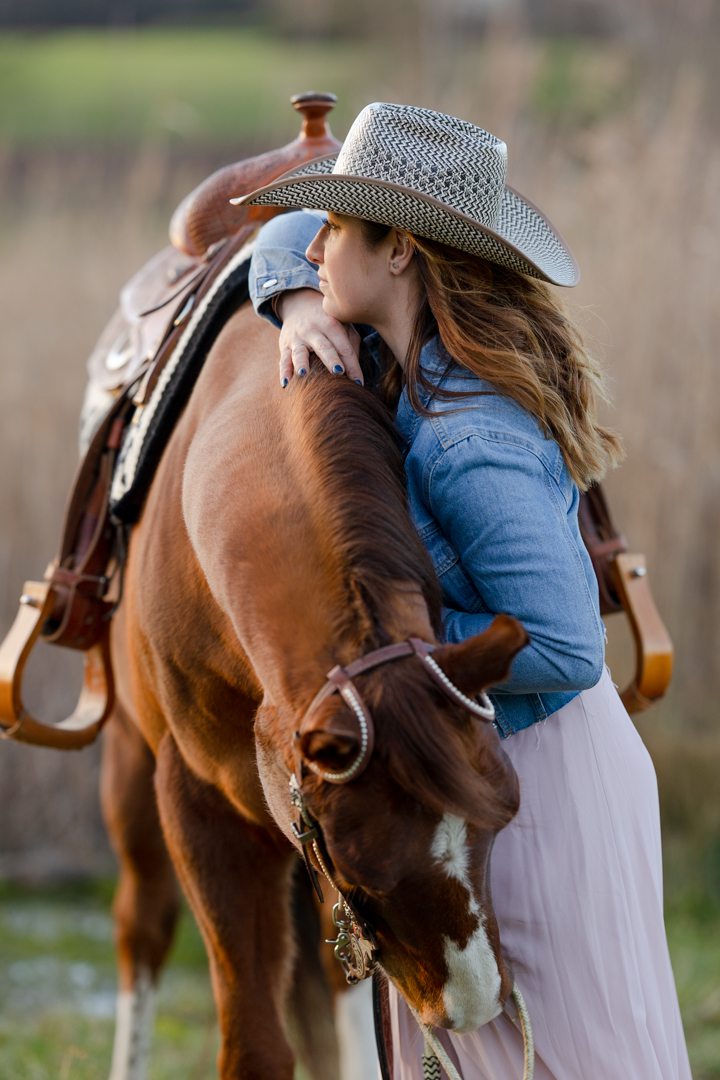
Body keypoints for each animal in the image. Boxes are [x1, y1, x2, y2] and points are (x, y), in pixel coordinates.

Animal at [102, 297, 528, 1079]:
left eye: (499, 820)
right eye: (366, 872)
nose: (477, 1005)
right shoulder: (203, 814)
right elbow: (254, 1044)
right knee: (141, 928)